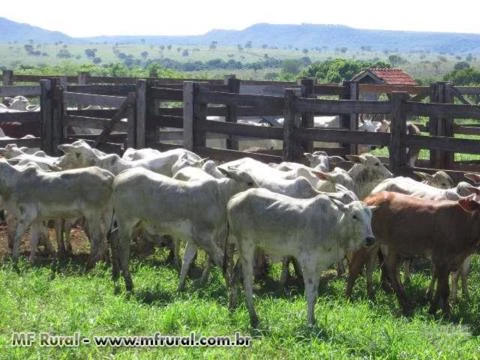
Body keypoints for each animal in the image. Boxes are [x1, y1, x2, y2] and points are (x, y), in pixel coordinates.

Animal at [228, 188, 376, 326]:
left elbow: (315, 295)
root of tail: (234, 199)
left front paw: (314, 320)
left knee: (234, 275)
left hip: (249, 248)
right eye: (354, 216)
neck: (333, 226)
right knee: (247, 282)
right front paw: (309, 323)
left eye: (370, 216)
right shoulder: (308, 262)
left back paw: (232, 308)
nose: (370, 239)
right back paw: (253, 318)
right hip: (246, 245)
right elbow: (310, 295)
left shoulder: (319, 266)